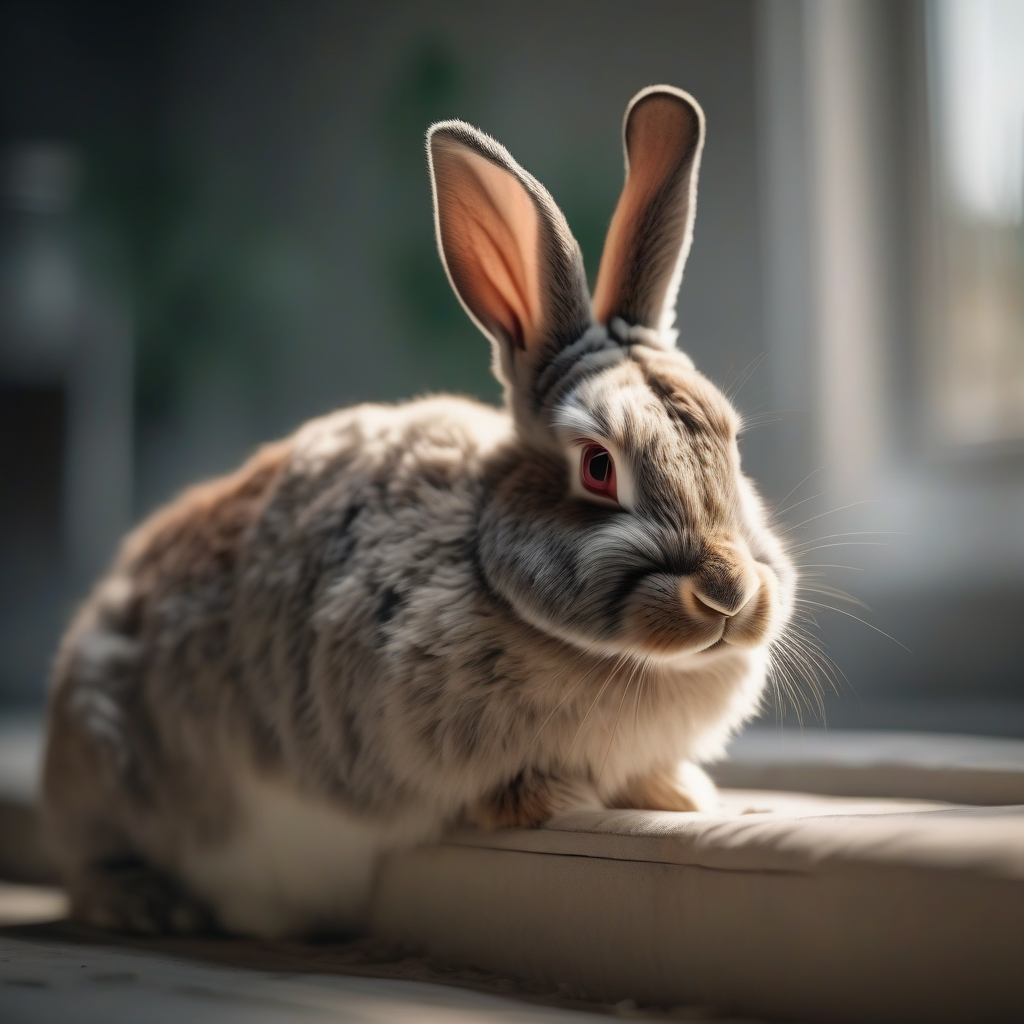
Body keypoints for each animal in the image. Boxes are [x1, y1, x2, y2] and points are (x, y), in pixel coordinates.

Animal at [42, 85, 795, 939]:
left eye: (733, 445)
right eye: (599, 468)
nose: (728, 594)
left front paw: (680, 795)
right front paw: (554, 795)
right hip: (105, 756)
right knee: (89, 855)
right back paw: (146, 906)